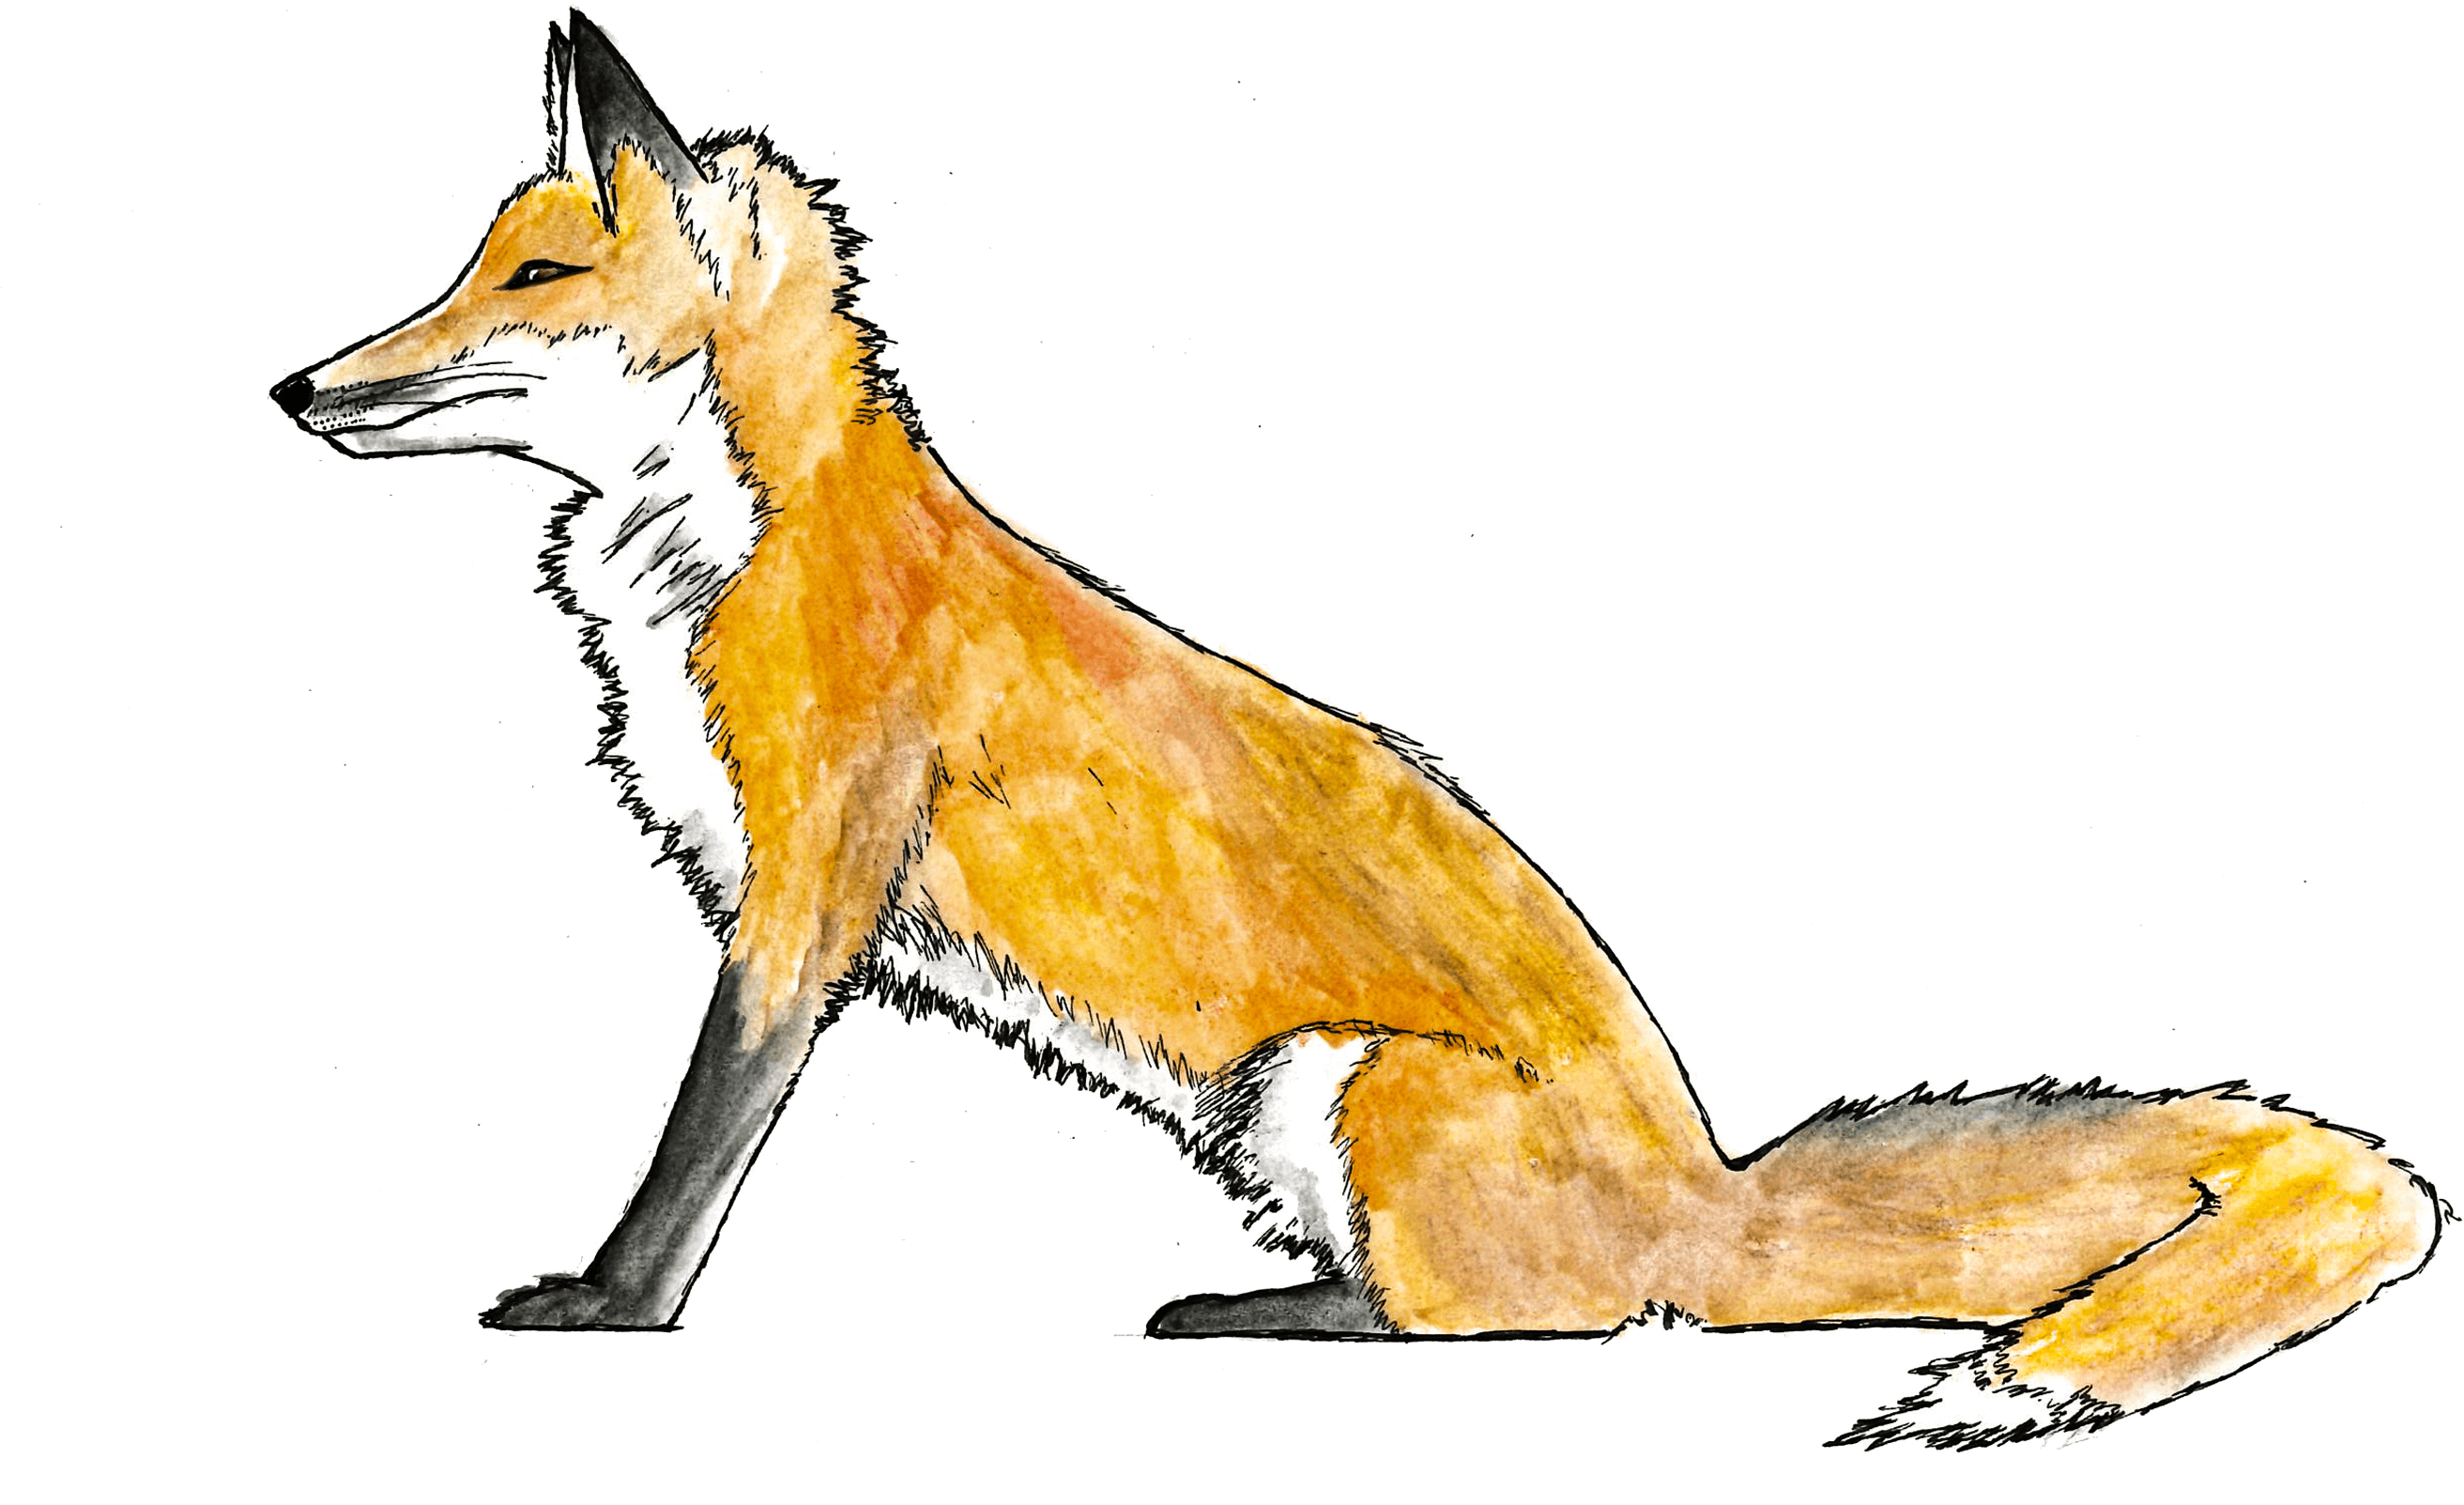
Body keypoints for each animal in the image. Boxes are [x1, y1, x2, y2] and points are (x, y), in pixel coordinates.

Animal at [272, 10, 2440, 1449]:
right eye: (466, 260)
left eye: (536, 274)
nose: (300, 386)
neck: (725, 542)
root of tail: (1712, 1181)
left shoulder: (812, 882)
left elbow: (698, 1145)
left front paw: (606, 1310)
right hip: (1279, 1116)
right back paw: (1243, 1296)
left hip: (1349, 1084)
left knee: (1539, 1328)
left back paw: (1259, 1315)